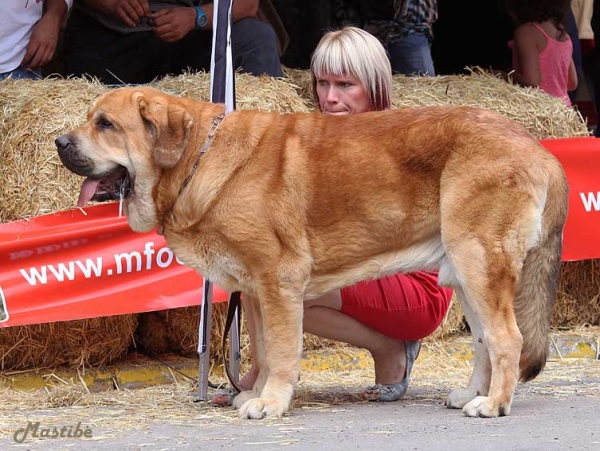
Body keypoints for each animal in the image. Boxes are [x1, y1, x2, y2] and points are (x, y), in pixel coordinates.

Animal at [56, 87, 568, 420]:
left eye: (105, 125)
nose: (60, 142)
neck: (196, 159)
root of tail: (539, 149)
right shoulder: (256, 292)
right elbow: (263, 350)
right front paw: (253, 394)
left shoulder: (279, 282)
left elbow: (282, 352)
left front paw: (271, 402)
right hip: (464, 272)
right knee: (484, 340)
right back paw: (470, 395)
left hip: (479, 262)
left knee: (507, 339)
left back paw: (495, 404)